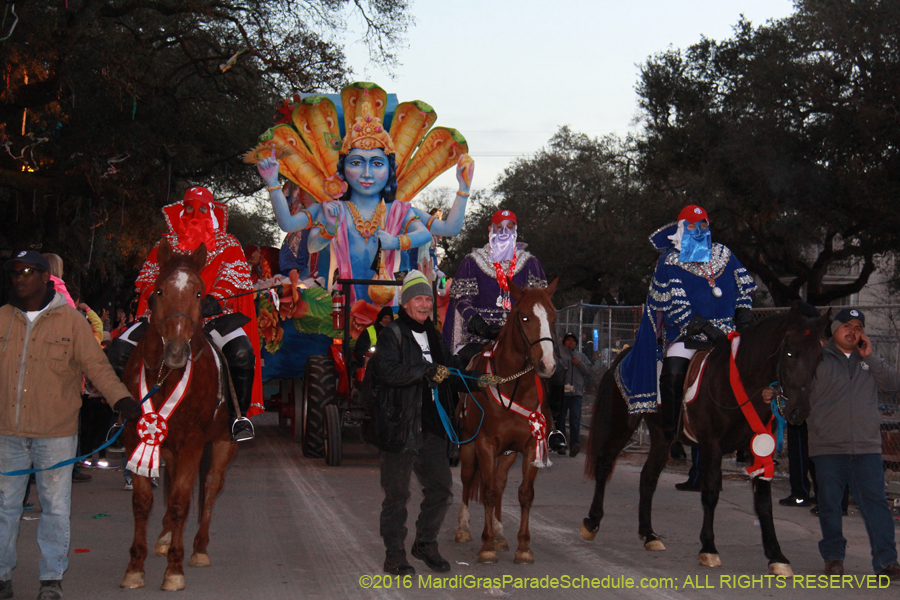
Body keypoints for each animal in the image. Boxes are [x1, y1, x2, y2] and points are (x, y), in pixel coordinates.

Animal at [119, 240, 239, 592]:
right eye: (159, 291)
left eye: (200, 294)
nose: (175, 350)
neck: (165, 376)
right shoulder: (136, 435)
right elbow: (143, 502)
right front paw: (135, 567)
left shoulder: (193, 442)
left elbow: (182, 502)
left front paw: (174, 570)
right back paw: (165, 536)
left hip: (224, 442)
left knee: (210, 488)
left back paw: (198, 549)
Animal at [454, 278, 560, 564]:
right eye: (524, 317)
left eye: (553, 317)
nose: (547, 364)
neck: (514, 386)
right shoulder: (485, 444)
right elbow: (488, 492)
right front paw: (486, 545)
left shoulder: (530, 445)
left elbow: (524, 493)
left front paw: (523, 547)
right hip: (467, 446)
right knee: (468, 479)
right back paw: (464, 529)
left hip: (508, 453)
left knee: (501, 484)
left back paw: (500, 533)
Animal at [580, 302, 828, 576]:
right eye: (790, 354)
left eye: (819, 357)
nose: (799, 411)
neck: (740, 382)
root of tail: (623, 356)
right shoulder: (712, 446)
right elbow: (710, 493)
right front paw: (709, 548)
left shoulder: (760, 446)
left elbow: (764, 502)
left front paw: (776, 555)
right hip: (623, 423)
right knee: (604, 463)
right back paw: (592, 522)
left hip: (662, 437)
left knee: (648, 477)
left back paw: (649, 534)